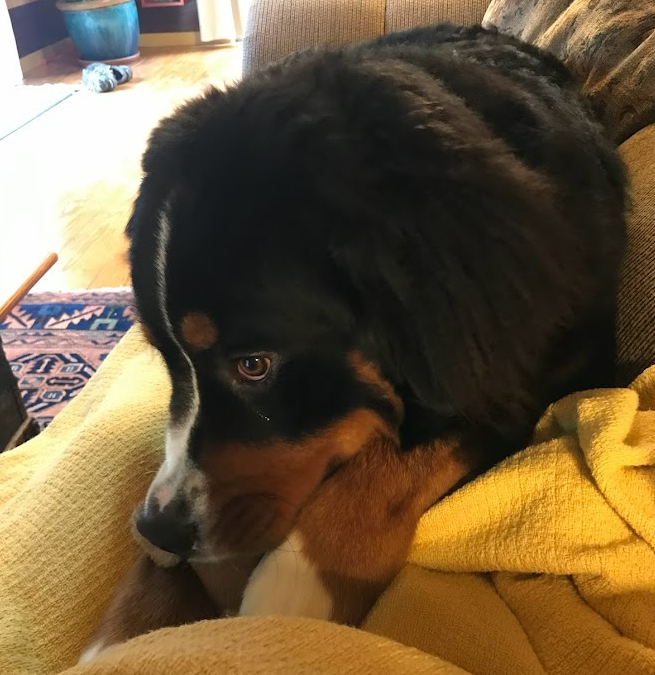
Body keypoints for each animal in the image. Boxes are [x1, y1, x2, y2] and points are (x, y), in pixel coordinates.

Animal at [79, 23, 628, 664]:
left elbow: (393, 464)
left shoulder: (527, 369)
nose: (158, 529)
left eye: (254, 366)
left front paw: (293, 590)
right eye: (166, 360)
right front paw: (121, 633)